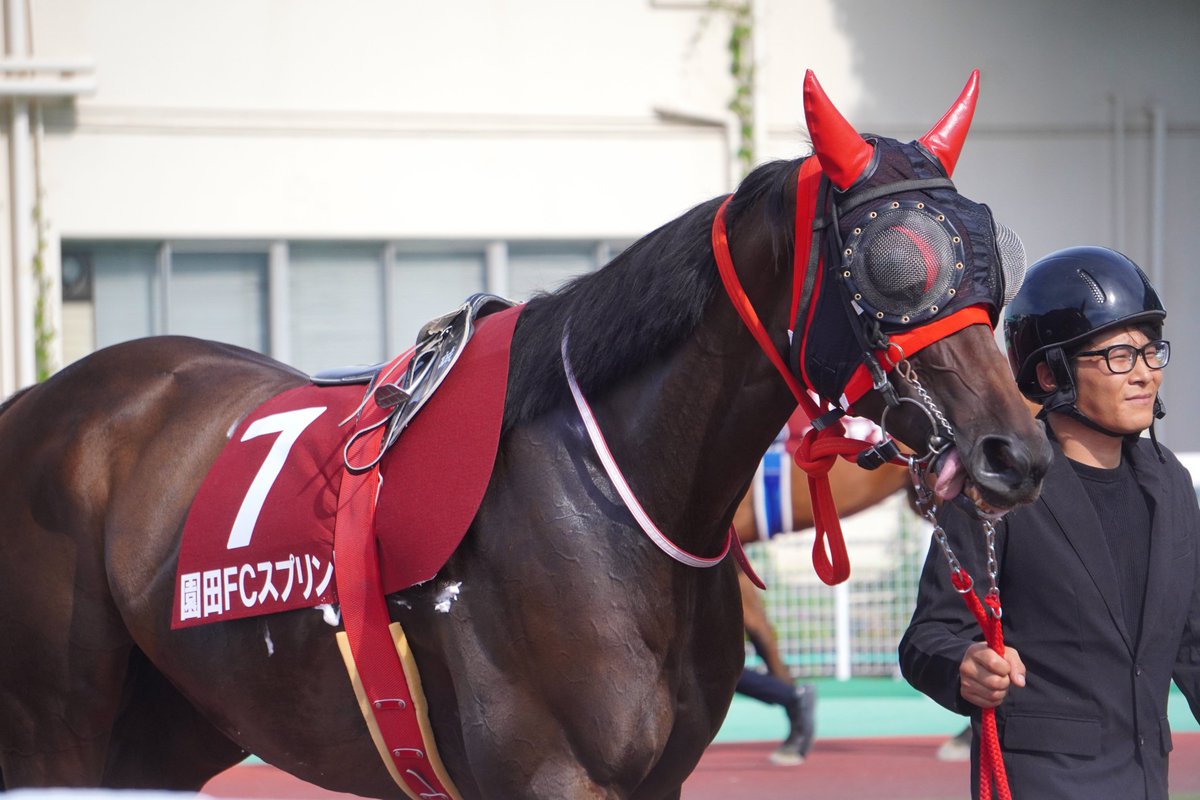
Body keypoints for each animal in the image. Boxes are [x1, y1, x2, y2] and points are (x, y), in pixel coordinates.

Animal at [0, 71, 1051, 799]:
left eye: (991, 255)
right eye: (897, 264)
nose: (1017, 452)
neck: (615, 489)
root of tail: (35, 402)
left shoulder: (658, 778)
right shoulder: (553, 772)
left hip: (172, 726)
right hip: (60, 729)